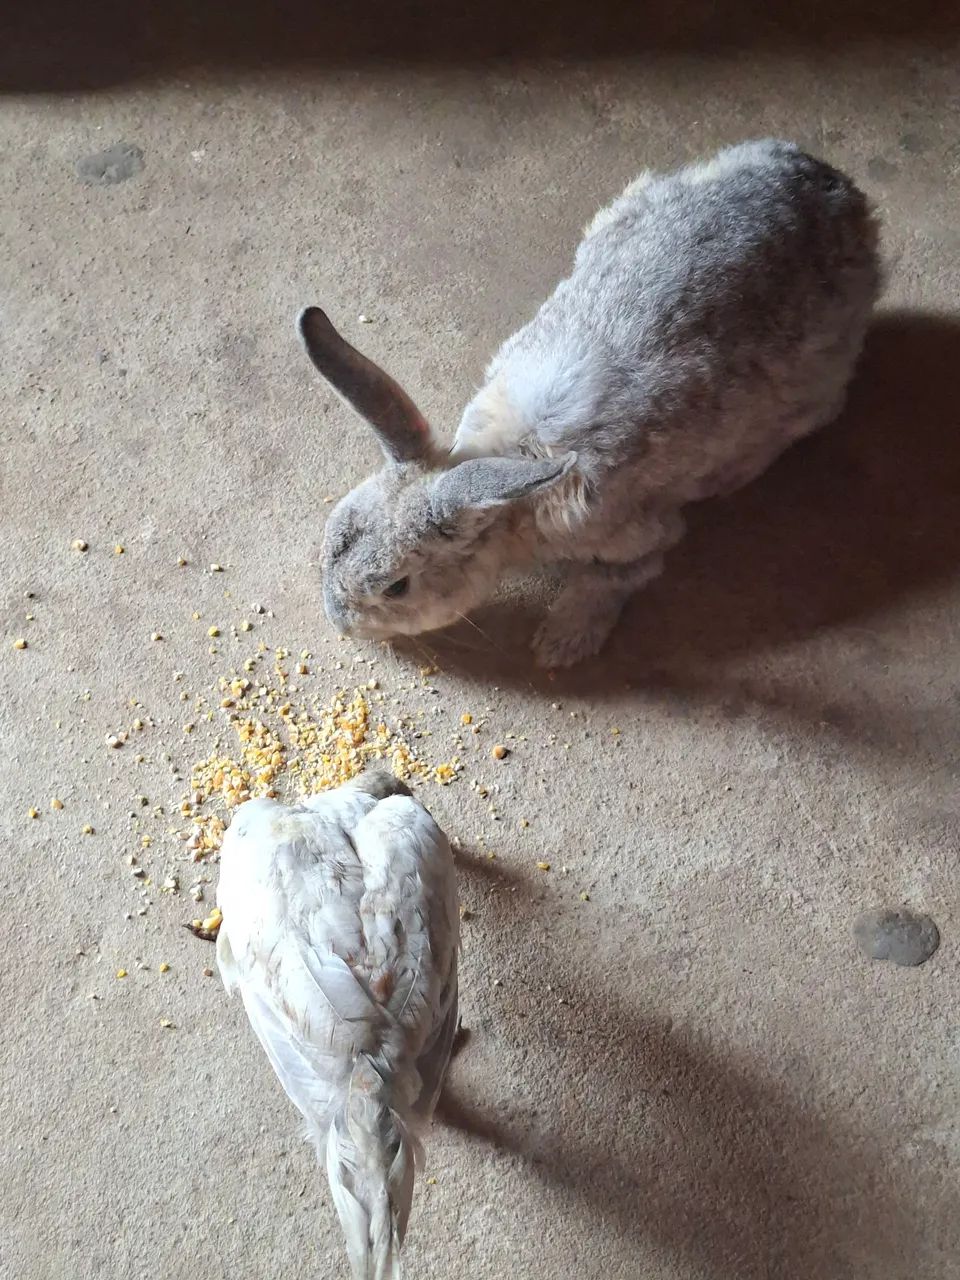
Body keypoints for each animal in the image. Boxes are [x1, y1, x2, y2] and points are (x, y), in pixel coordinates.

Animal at [300, 139, 880, 667]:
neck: (514, 487)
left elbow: (611, 580)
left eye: (396, 587)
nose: (340, 623)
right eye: (330, 537)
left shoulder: (634, 538)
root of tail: (840, 191)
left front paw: (559, 645)